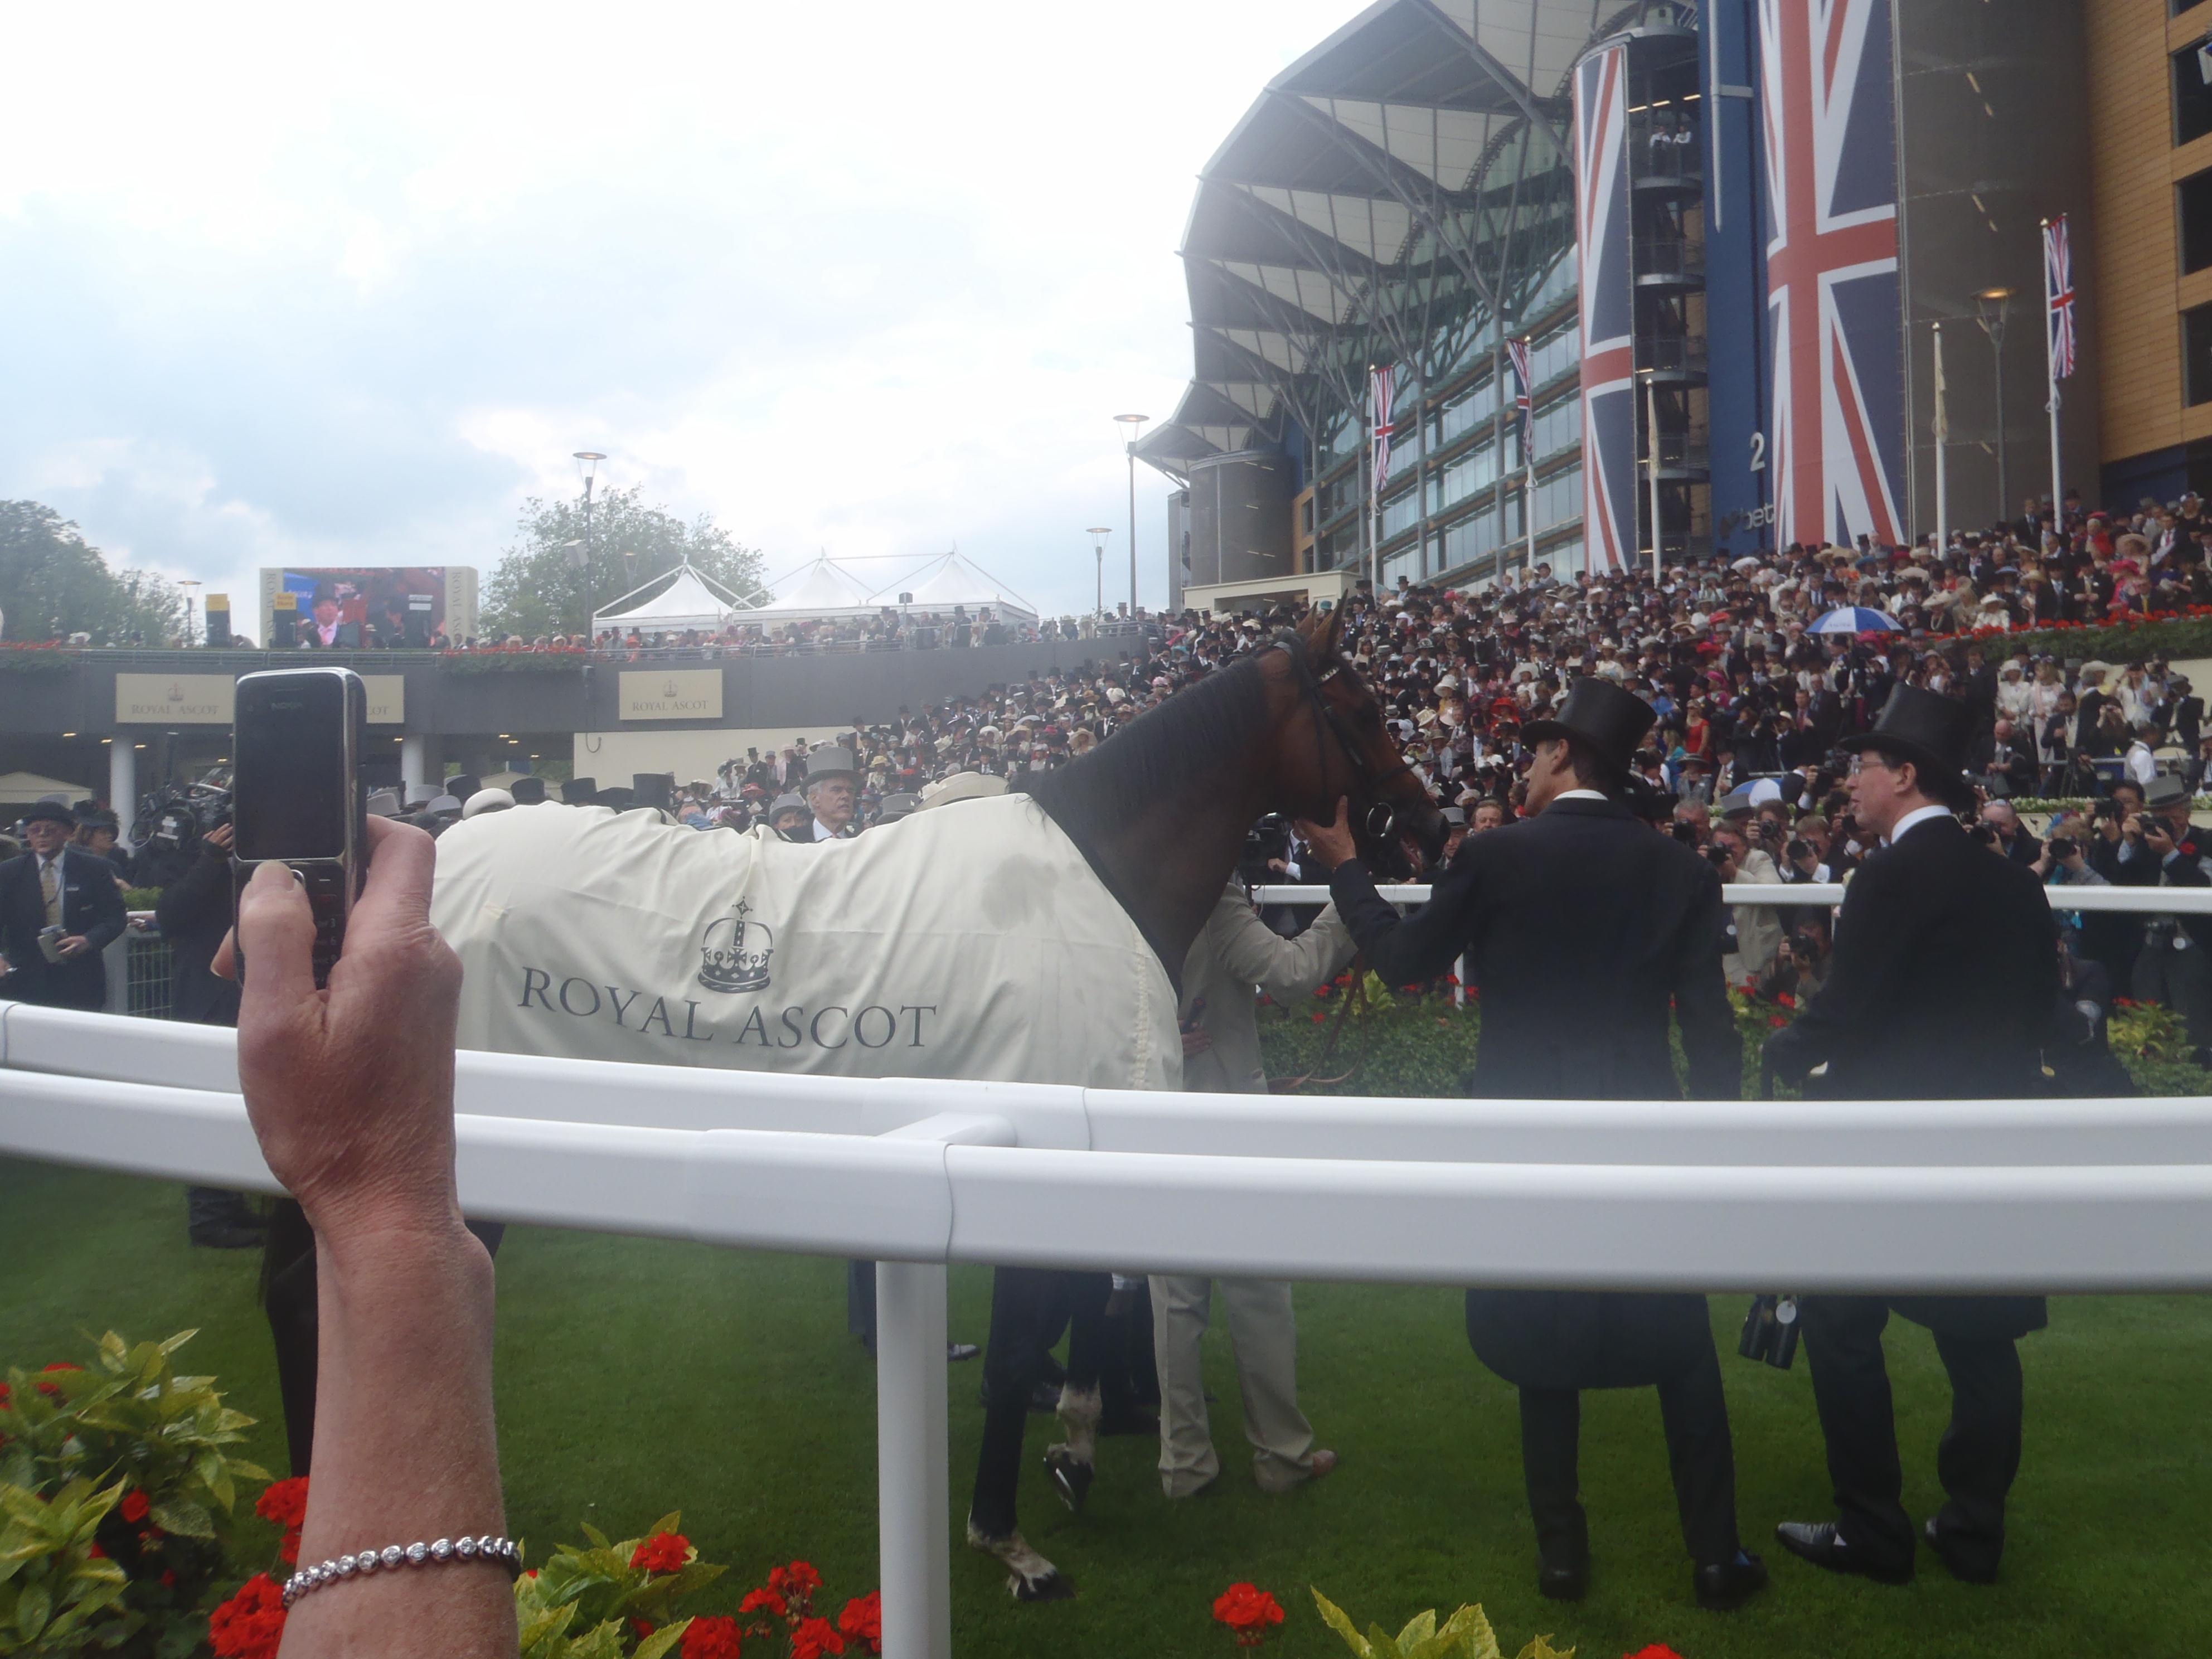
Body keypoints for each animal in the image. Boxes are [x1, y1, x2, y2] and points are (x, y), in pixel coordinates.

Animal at [429, 606, 1433, 1601]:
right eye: (1363, 709)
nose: (1422, 821)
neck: (1097, 873)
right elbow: (1019, 1349)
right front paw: (1008, 1537)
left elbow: (1084, 1306)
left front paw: (1074, 1444)